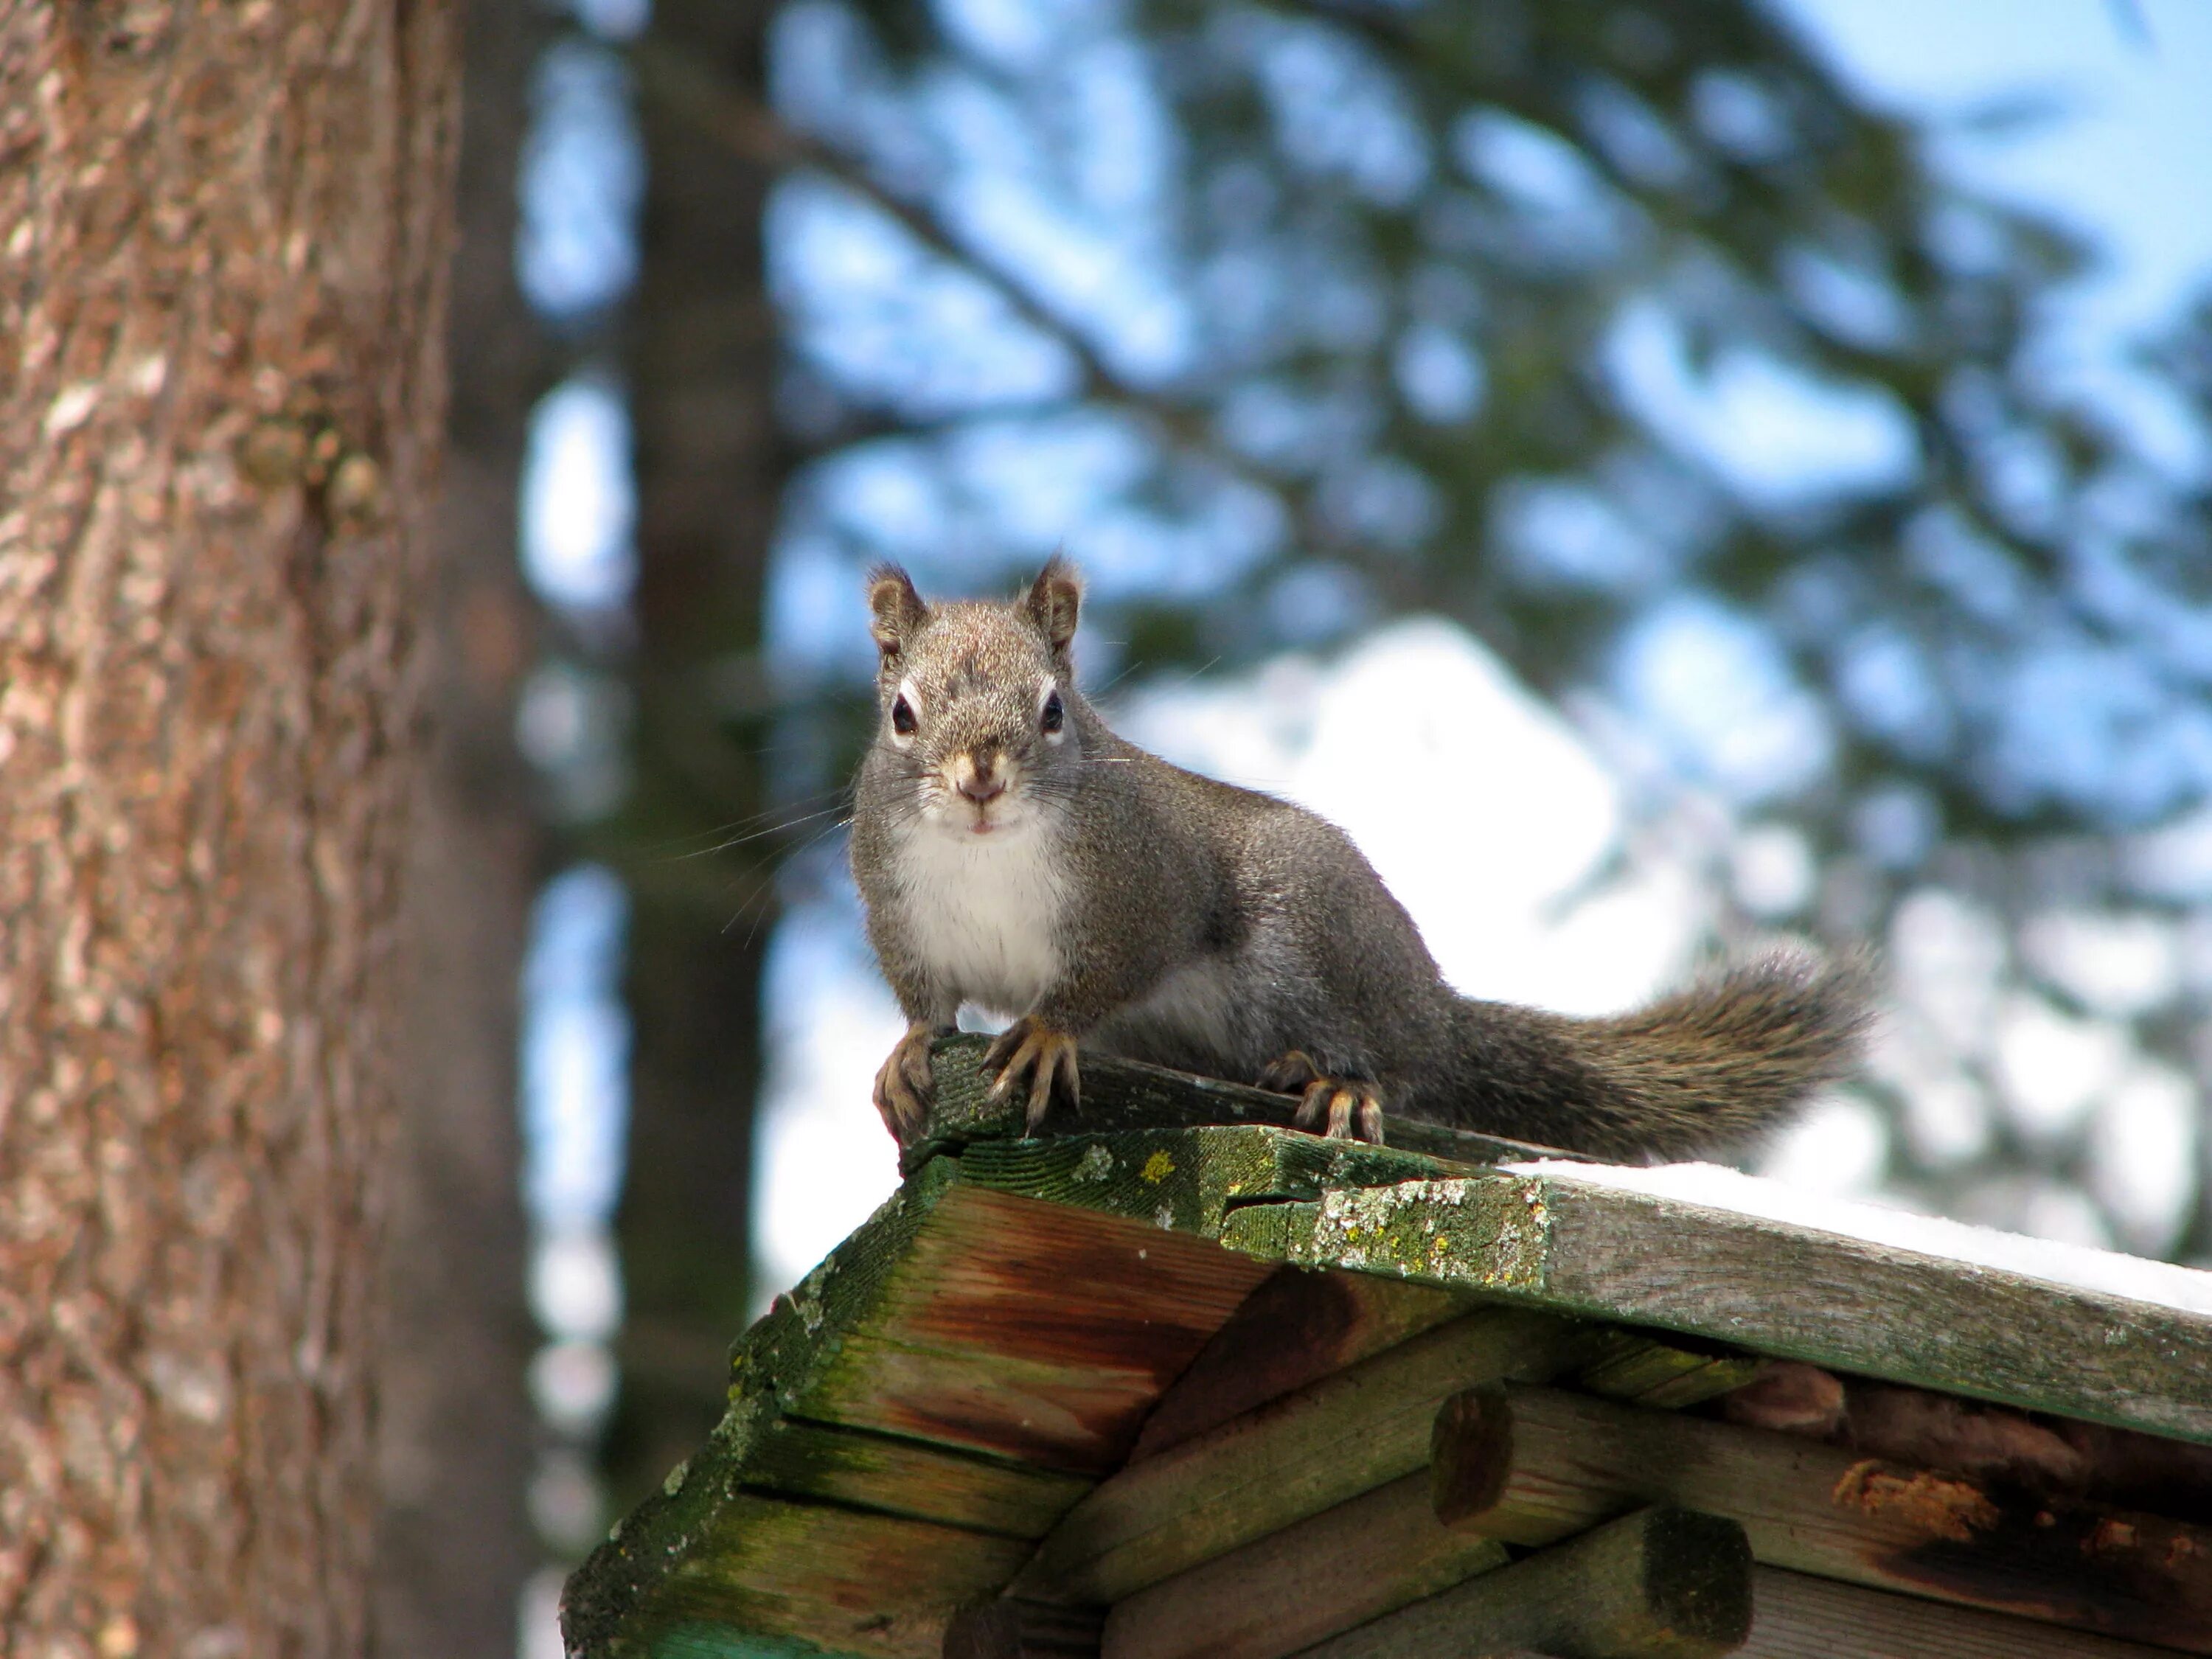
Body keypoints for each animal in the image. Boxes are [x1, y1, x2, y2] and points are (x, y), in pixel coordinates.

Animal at [845, 560, 1867, 1159]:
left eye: (1054, 711)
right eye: (902, 714)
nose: (980, 782)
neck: (986, 855)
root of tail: (1432, 1006)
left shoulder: (1142, 891)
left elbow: (1100, 978)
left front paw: (1049, 1035)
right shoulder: (904, 916)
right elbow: (927, 1004)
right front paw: (907, 1053)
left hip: (1305, 944)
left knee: (1390, 1063)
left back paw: (1336, 1081)